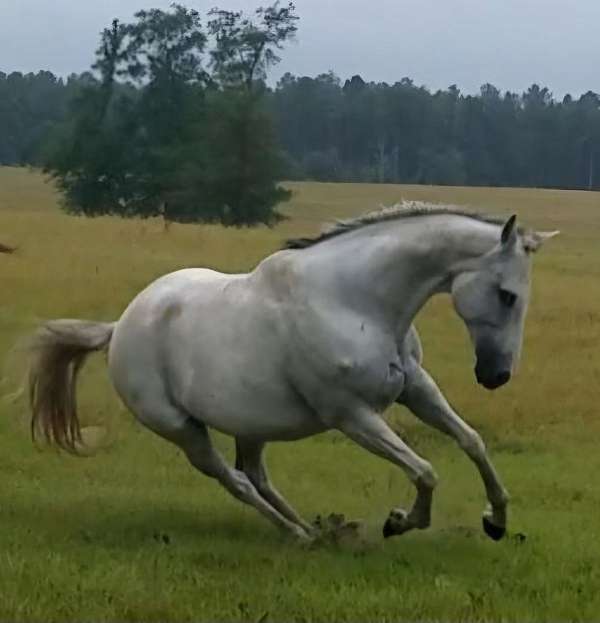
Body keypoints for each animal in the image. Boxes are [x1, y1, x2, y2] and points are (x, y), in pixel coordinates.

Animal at [24, 204, 556, 540]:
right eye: (507, 295)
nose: (496, 375)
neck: (353, 299)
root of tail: (119, 328)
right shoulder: (351, 415)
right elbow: (425, 471)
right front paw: (400, 521)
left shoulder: (416, 390)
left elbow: (471, 442)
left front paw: (496, 520)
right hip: (182, 429)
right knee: (234, 481)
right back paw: (299, 535)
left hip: (249, 425)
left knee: (255, 475)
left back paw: (310, 529)